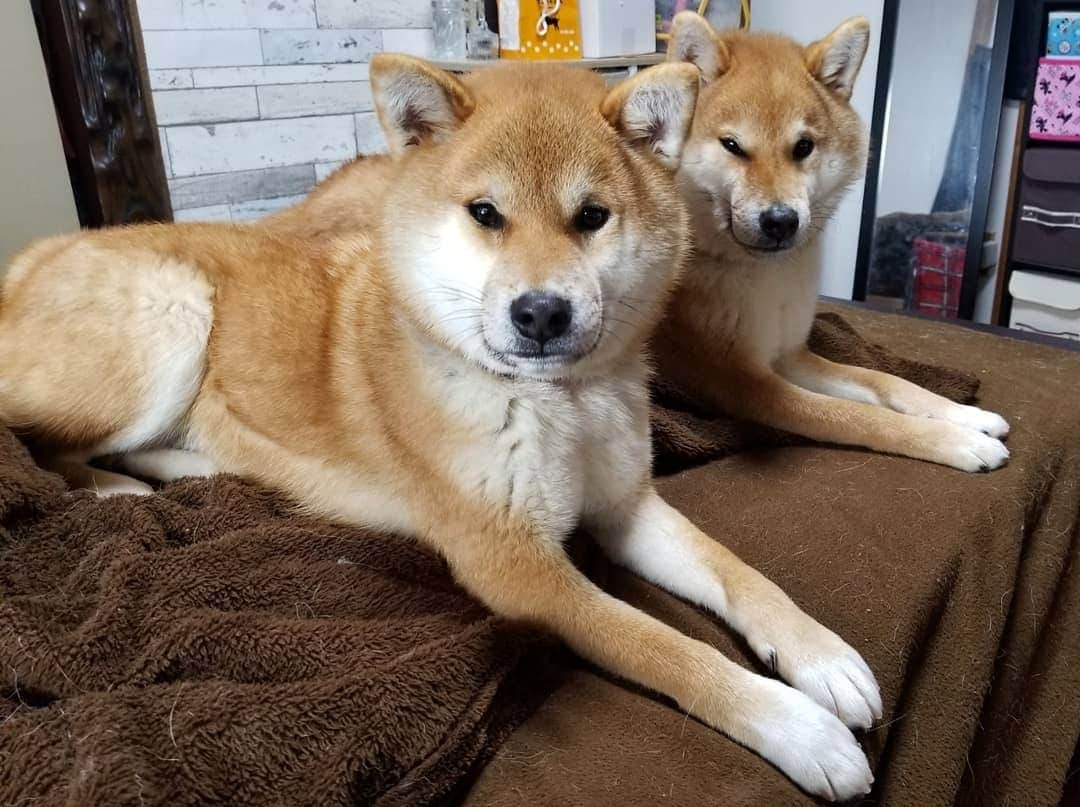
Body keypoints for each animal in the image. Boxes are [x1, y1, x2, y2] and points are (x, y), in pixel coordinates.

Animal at [2, 58, 876, 803]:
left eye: (592, 217)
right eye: (486, 214)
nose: (540, 312)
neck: (559, 402)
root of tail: (36, 254)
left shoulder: (625, 507)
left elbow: (739, 574)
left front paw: (821, 656)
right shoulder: (516, 568)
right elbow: (666, 648)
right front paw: (798, 727)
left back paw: (197, 469)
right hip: (175, 318)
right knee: (42, 447)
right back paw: (116, 489)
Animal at [656, 14, 1010, 473]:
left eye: (803, 147)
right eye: (732, 146)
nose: (781, 221)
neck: (767, 280)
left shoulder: (788, 355)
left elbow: (885, 380)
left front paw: (965, 415)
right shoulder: (740, 381)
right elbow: (859, 416)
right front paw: (957, 440)